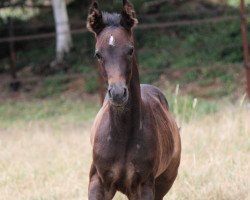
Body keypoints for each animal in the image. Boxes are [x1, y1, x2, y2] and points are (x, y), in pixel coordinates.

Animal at [87, 0, 181, 199]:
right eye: (98, 54)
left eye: (130, 50)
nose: (117, 93)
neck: (122, 134)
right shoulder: (98, 182)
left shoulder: (143, 185)